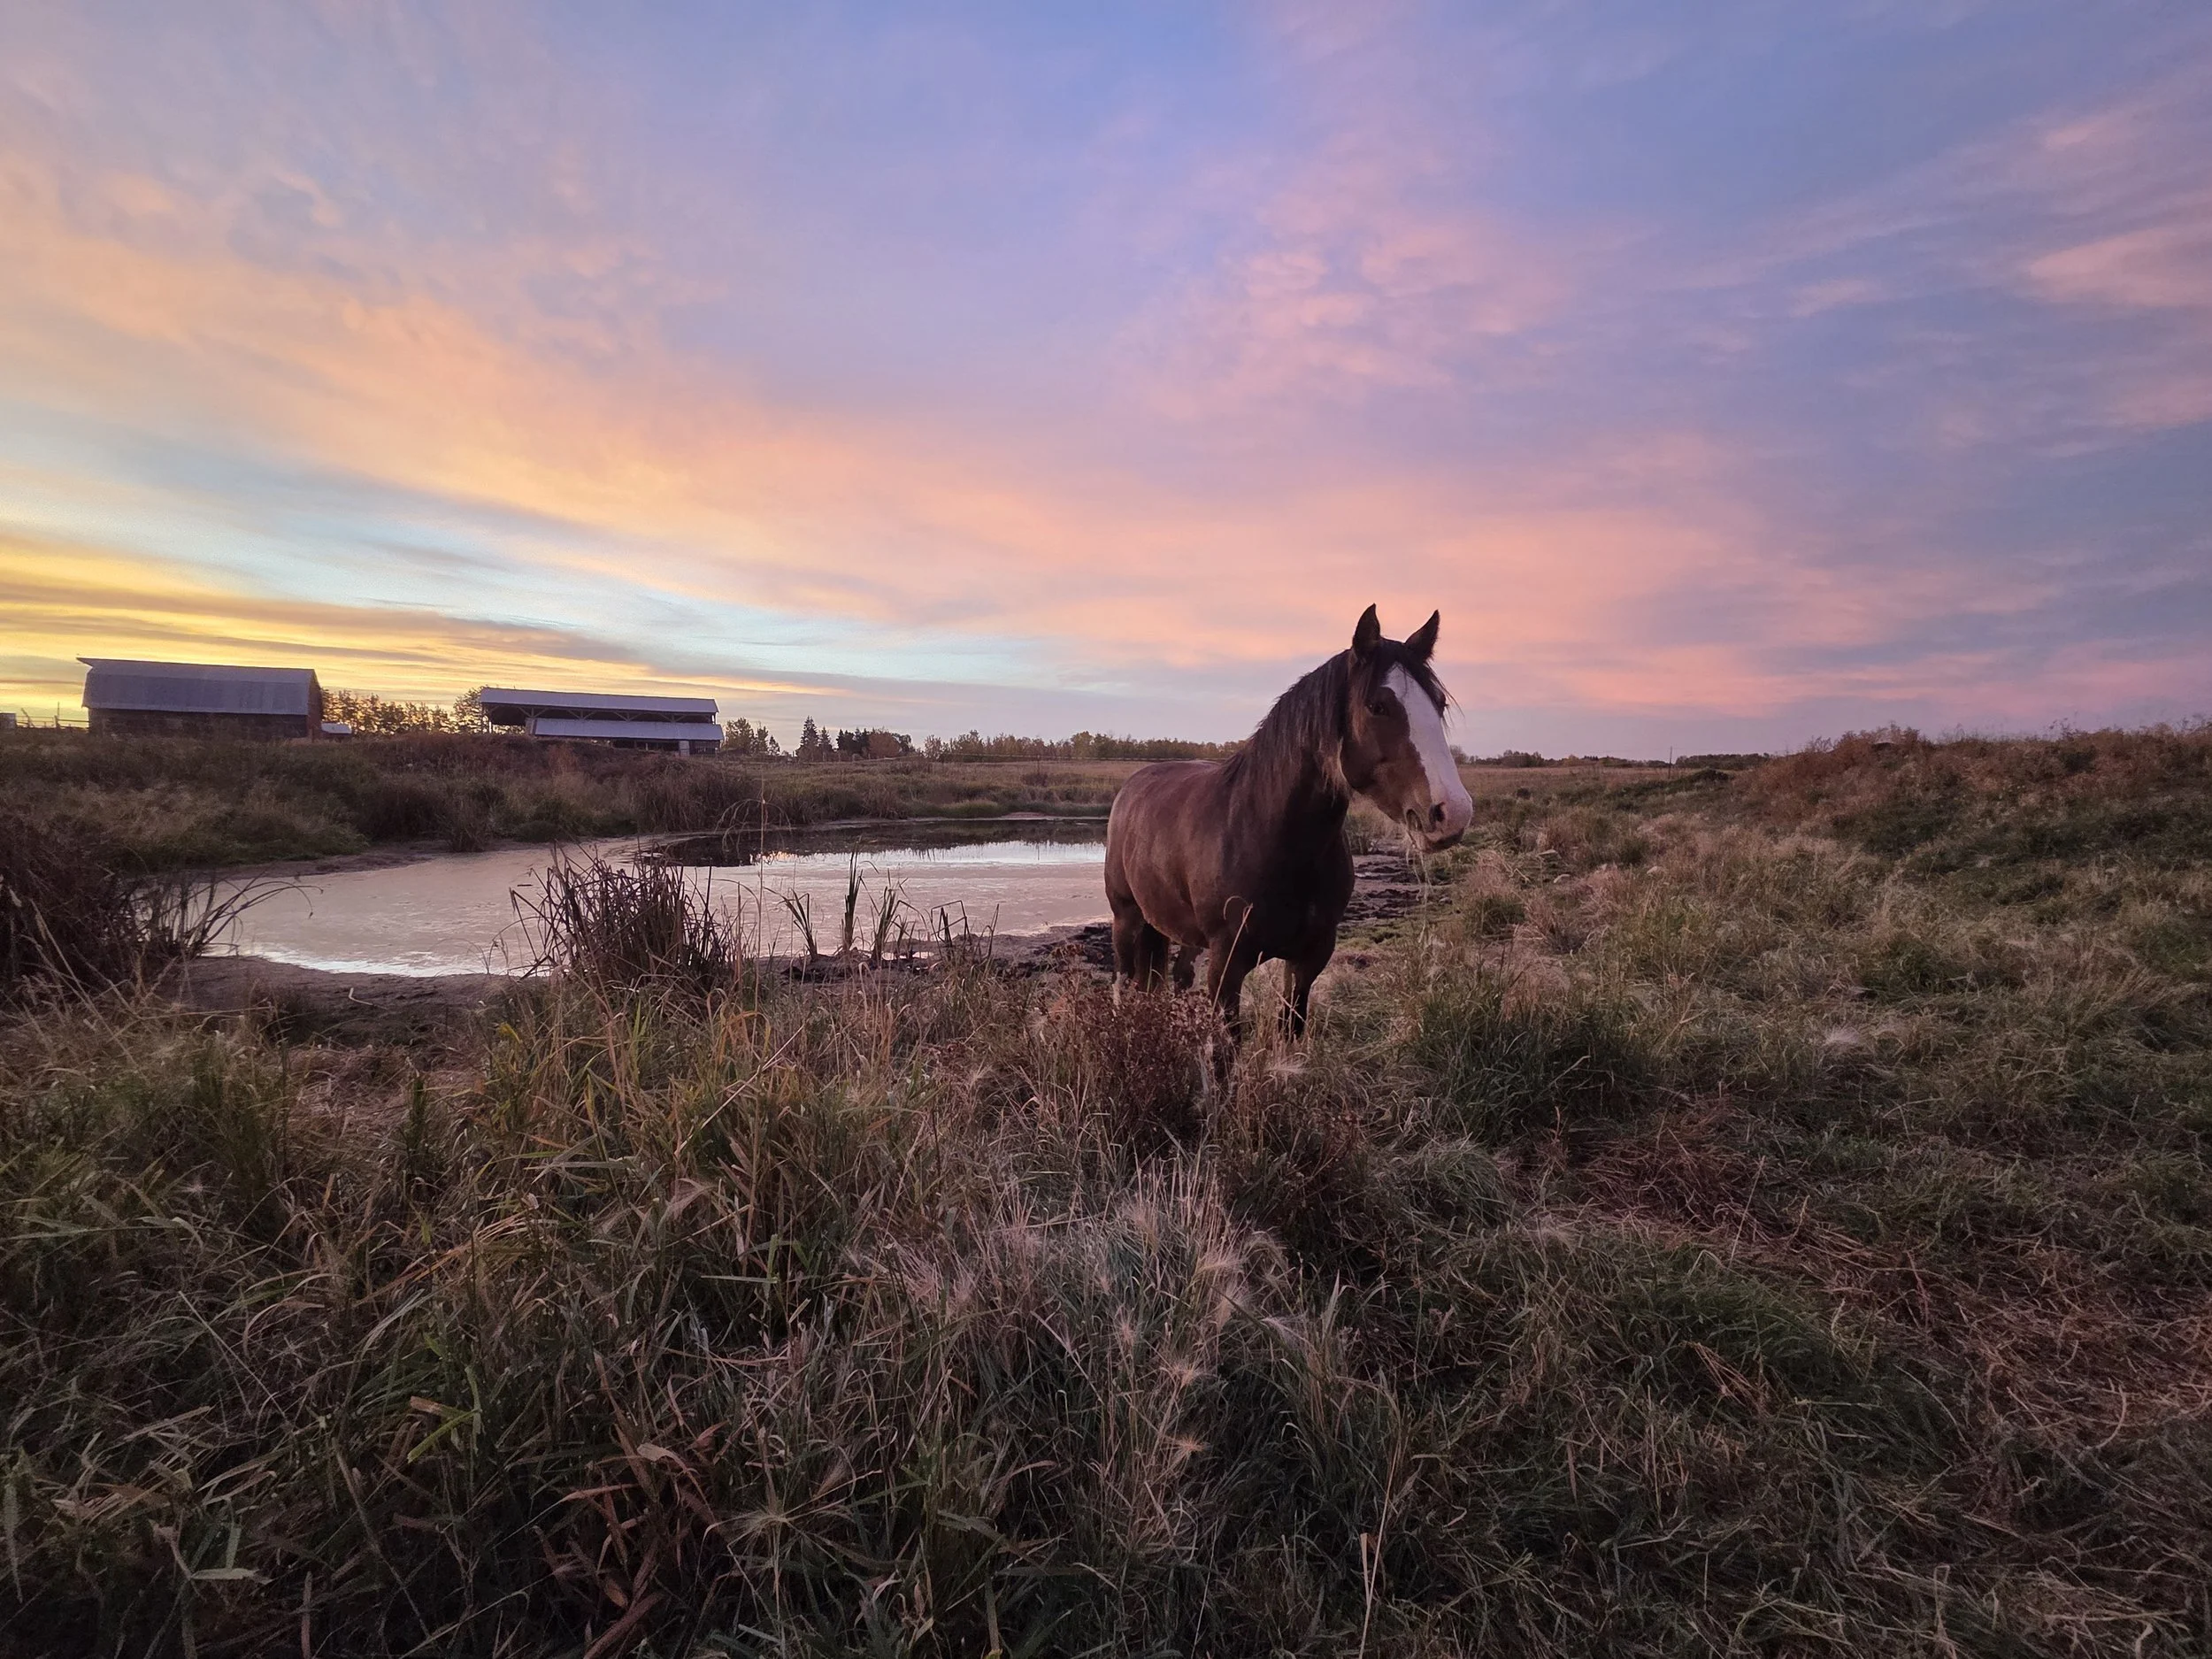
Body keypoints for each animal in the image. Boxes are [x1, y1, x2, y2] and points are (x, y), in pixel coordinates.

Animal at [1103, 604, 1474, 1048]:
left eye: (1439, 703)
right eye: (1378, 706)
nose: (1451, 812)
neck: (1268, 838)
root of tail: (1133, 786)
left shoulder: (1308, 958)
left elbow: (1290, 1032)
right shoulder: (1226, 966)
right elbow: (1225, 1050)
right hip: (1126, 918)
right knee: (1124, 985)